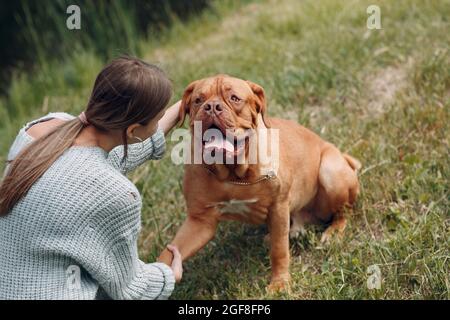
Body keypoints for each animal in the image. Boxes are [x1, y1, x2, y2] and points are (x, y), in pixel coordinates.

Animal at [158, 74, 362, 290]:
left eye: (234, 98)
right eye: (198, 100)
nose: (212, 106)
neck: (232, 174)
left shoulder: (277, 206)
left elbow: (279, 250)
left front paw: (280, 283)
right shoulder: (200, 221)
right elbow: (169, 252)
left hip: (330, 171)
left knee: (343, 212)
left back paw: (333, 232)